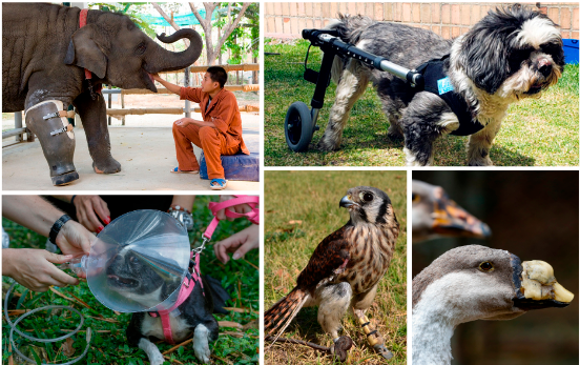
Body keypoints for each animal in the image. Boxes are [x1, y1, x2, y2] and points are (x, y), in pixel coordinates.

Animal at [2, 2, 203, 185]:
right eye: (141, 47)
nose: (162, 34)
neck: (82, 20)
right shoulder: (51, 65)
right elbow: (40, 107)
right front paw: (66, 179)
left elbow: (95, 109)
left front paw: (110, 170)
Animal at [320, 4, 564, 165]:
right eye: (519, 54)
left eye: (549, 49)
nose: (545, 65)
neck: (471, 89)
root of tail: (368, 24)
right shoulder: (420, 122)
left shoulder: (490, 124)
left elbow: (480, 149)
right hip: (352, 80)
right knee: (339, 112)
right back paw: (329, 142)